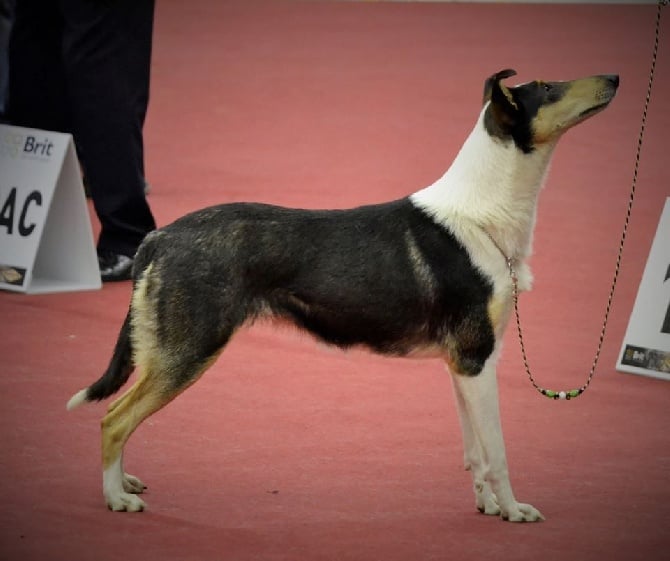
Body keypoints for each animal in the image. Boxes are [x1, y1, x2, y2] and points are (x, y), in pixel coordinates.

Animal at [67, 70, 620, 520]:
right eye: (547, 87)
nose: (614, 77)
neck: (483, 216)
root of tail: (158, 237)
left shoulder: (463, 365)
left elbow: (476, 453)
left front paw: (487, 507)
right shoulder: (476, 358)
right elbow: (499, 452)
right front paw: (514, 510)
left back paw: (124, 479)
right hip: (187, 350)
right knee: (113, 419)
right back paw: (116, 498)